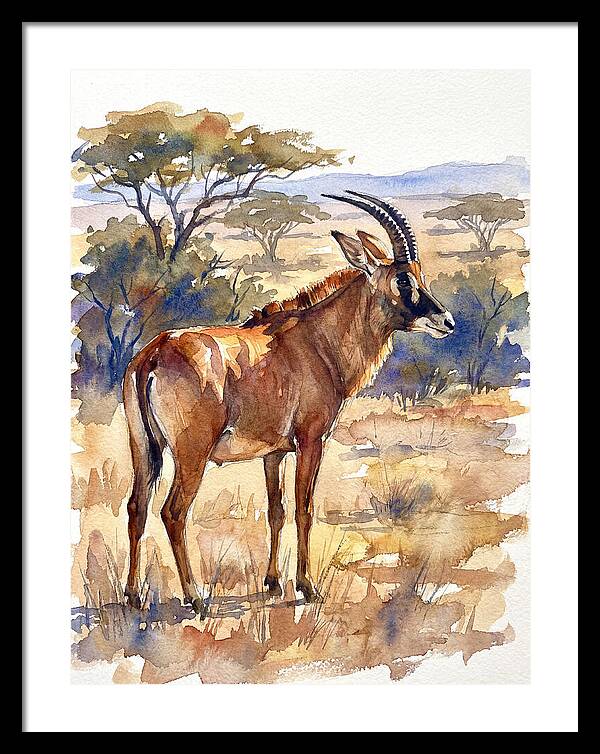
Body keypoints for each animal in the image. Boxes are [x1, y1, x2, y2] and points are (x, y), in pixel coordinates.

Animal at [123, 191, 454, 612]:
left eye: (419, 275)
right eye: (402, 279)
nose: (446, 321)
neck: (317, 339)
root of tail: (153, 354)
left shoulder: (274, 452)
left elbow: (276, 511)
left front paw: (272, 582)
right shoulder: (311, 440)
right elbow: (304, 509)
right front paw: (308, 587)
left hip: (144, 448)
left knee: (137, 506)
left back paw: (133, 595)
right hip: (191, 453)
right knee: (173, 511)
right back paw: (195, 597)